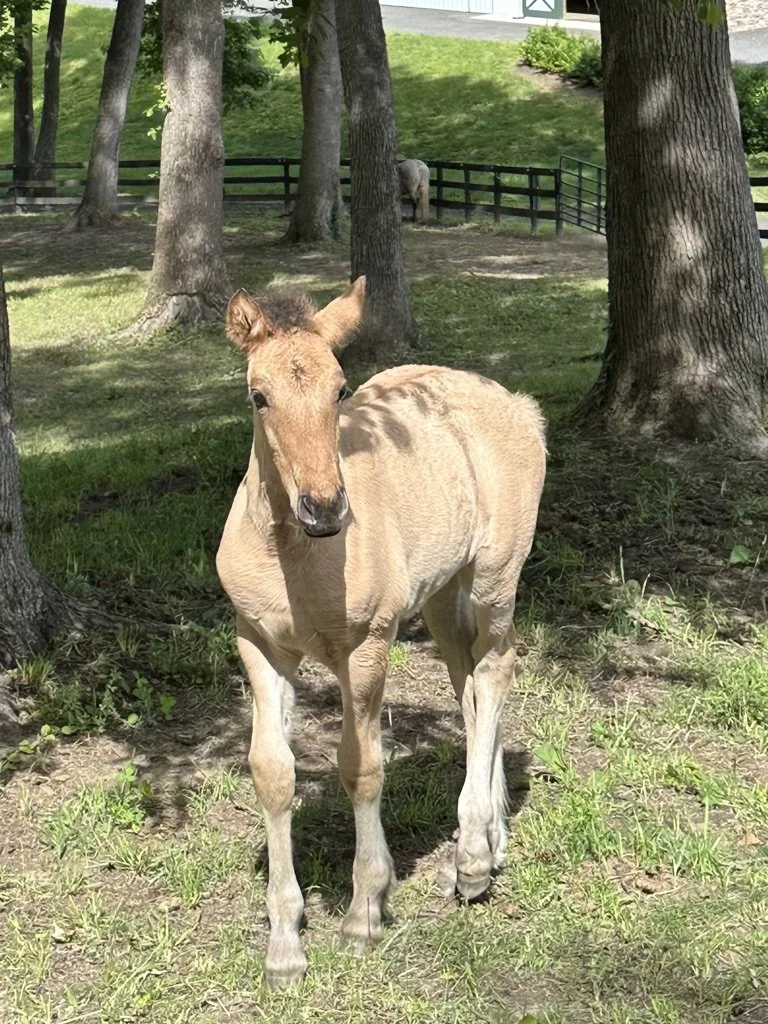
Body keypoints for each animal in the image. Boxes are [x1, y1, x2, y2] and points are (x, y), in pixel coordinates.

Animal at [216, 276, 546, 988]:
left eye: (341, 388)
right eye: (258, 395)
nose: (324, 507)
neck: (298, 558)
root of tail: (514, 401)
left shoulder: (366, 645)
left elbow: (362, 767)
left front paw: (365, 909)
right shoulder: (259, 644)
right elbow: (272, 772)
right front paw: (284, 944)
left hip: (494, 577)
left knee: (496, 668)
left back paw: (471, 858)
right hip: (443, 594)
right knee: (468, 685)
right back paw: (490, 838)